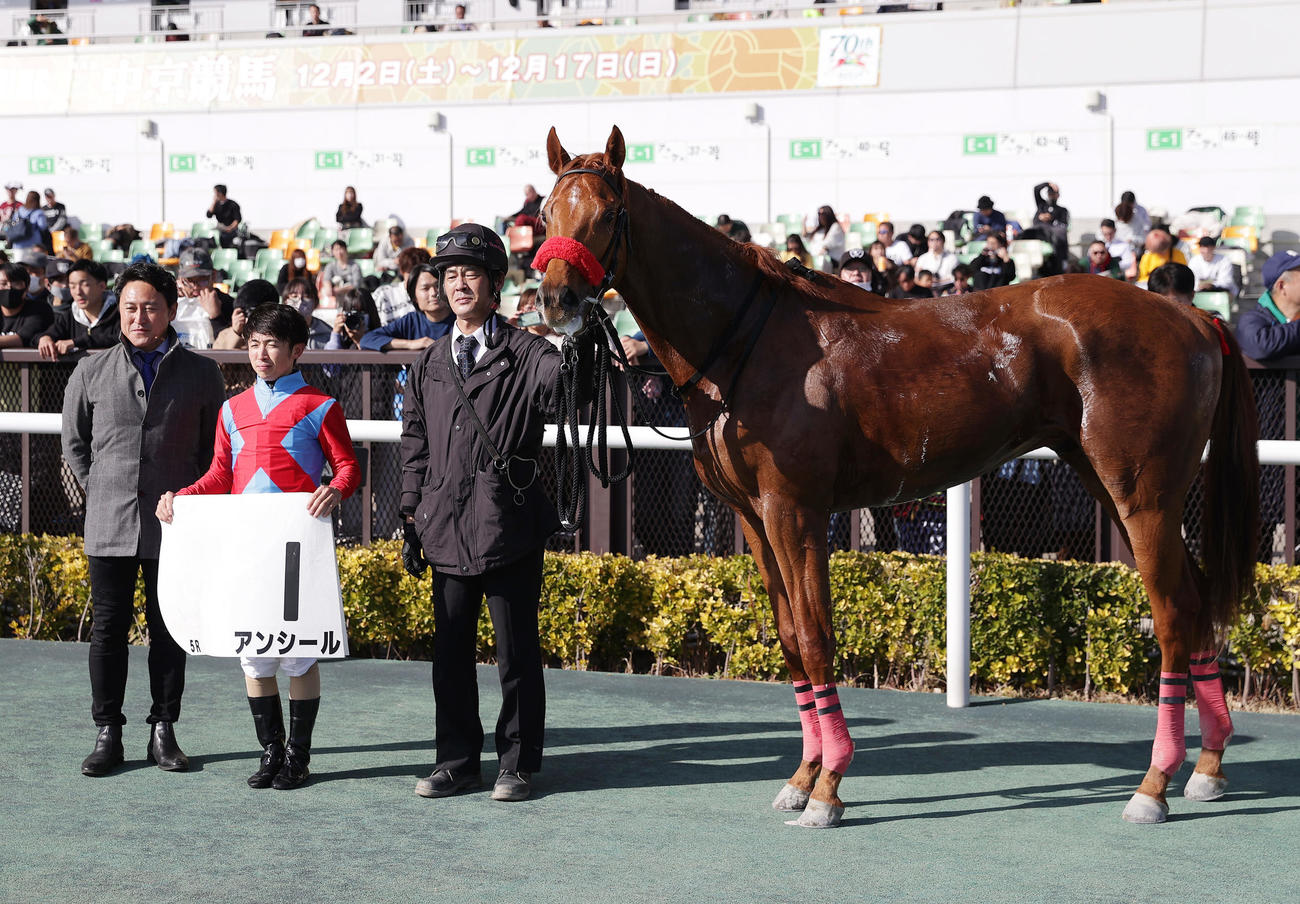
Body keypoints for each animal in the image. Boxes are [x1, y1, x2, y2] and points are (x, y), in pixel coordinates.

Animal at [533, 126, 1259, 828]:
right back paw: (1208, 764)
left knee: (1173, 612)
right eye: (546, 213)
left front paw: (829, 784)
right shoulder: (753, 517)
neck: (748, 341)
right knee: (1196, 603)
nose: (554, 299)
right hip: (1114, 486)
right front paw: (802, 777)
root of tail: (1193, 316)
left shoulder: (795, 509)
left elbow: (817, 637)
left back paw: (1154, 783)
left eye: (609, 213)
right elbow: (790, 640)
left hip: (1143, 493)